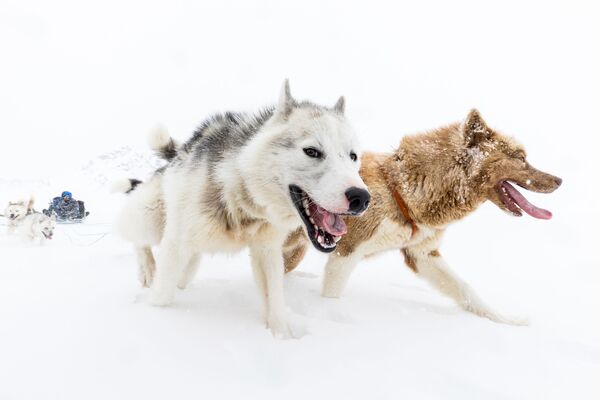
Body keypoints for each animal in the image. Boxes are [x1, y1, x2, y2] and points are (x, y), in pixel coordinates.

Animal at [114, 81, 368, 338]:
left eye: (353, 156)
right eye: (312, 151)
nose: (361, 197)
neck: (244, 200)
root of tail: (179, 151)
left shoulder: (267, 251)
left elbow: (275, 302)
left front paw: (281, 336)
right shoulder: (175, 245)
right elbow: (161, 296)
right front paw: (156, 318)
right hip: (150, 219)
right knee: (135, 237)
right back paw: (147, 268)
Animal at [284, 109, 564, 324]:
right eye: (521, 158)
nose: (559, 180)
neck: (400, 190)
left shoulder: (422, 255)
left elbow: (466, 290)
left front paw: (506, 320)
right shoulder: (346, 254)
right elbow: (332, 294)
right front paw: (329, 314)